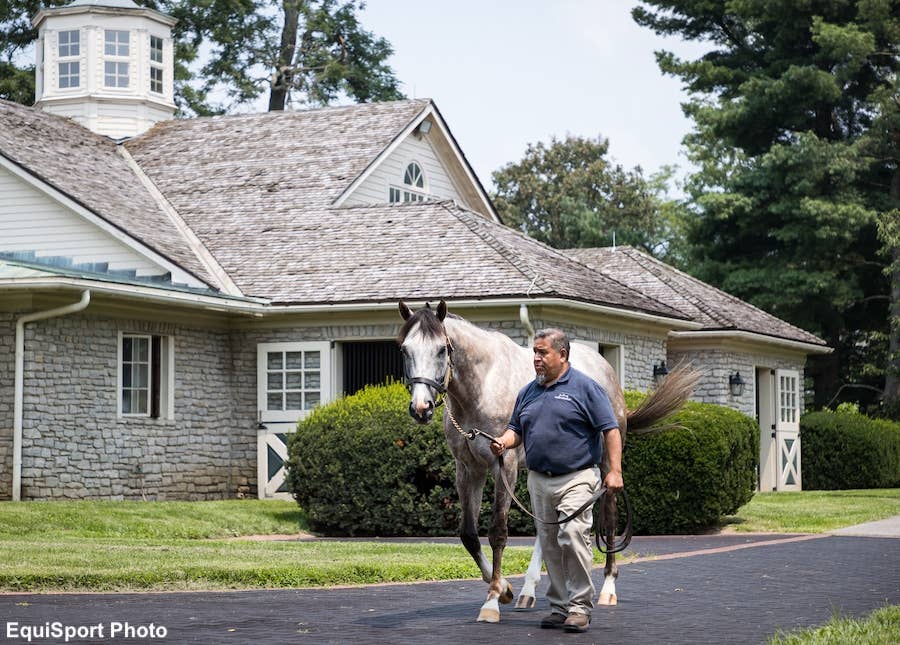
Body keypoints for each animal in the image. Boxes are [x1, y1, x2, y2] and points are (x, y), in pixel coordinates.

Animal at [397, 300, 697, 623]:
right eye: (404, 349)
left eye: (442, 349)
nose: (421, 408)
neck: (482, 386)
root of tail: (604, 368)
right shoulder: (467, 470)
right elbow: (469, 535)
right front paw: (505, 589)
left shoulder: (505, 465)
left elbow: (498, 532)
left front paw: (492, 601)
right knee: (549, 525)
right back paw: (528, 591)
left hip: (606, 463)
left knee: (609, 516)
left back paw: (607, 588)